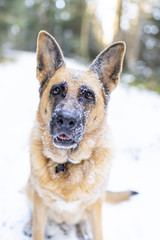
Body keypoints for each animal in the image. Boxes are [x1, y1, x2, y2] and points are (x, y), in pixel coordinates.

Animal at [24, 31, 137, 239]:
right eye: (56, 90)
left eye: (88, 95)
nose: (66, 120)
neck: (68, 163)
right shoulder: (40, 202)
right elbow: (38, 229)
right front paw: (32, 226)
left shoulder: (95, 206)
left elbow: (99, 232)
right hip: (30, 189)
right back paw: (29, 223)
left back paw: (83, 228)